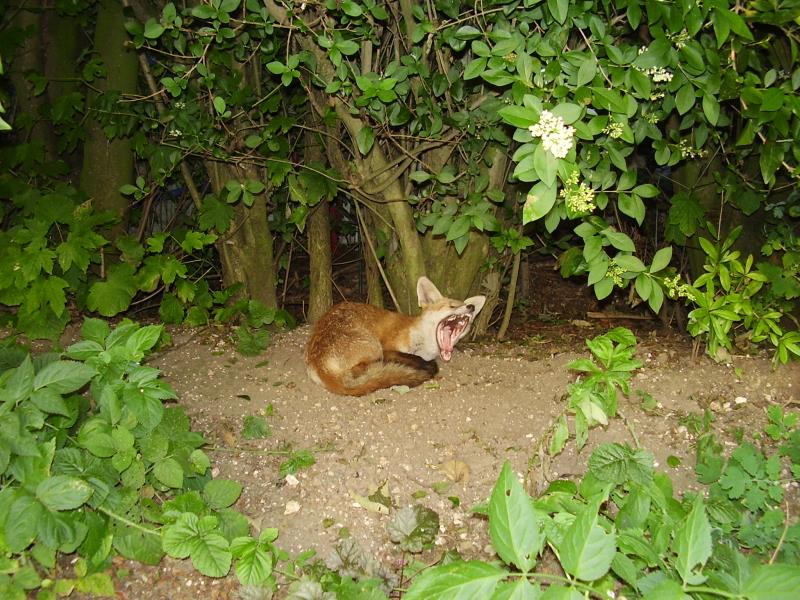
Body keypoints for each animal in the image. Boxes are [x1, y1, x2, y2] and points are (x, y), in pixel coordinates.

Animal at [304, 276, 484, 398]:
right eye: (452, 306)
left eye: (467, 306)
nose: (471, 307)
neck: (425, 346)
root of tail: (319, 364)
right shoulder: (388, 348)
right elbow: (418, 359)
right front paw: (425, 365)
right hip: (374, 348)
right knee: (363, 370)